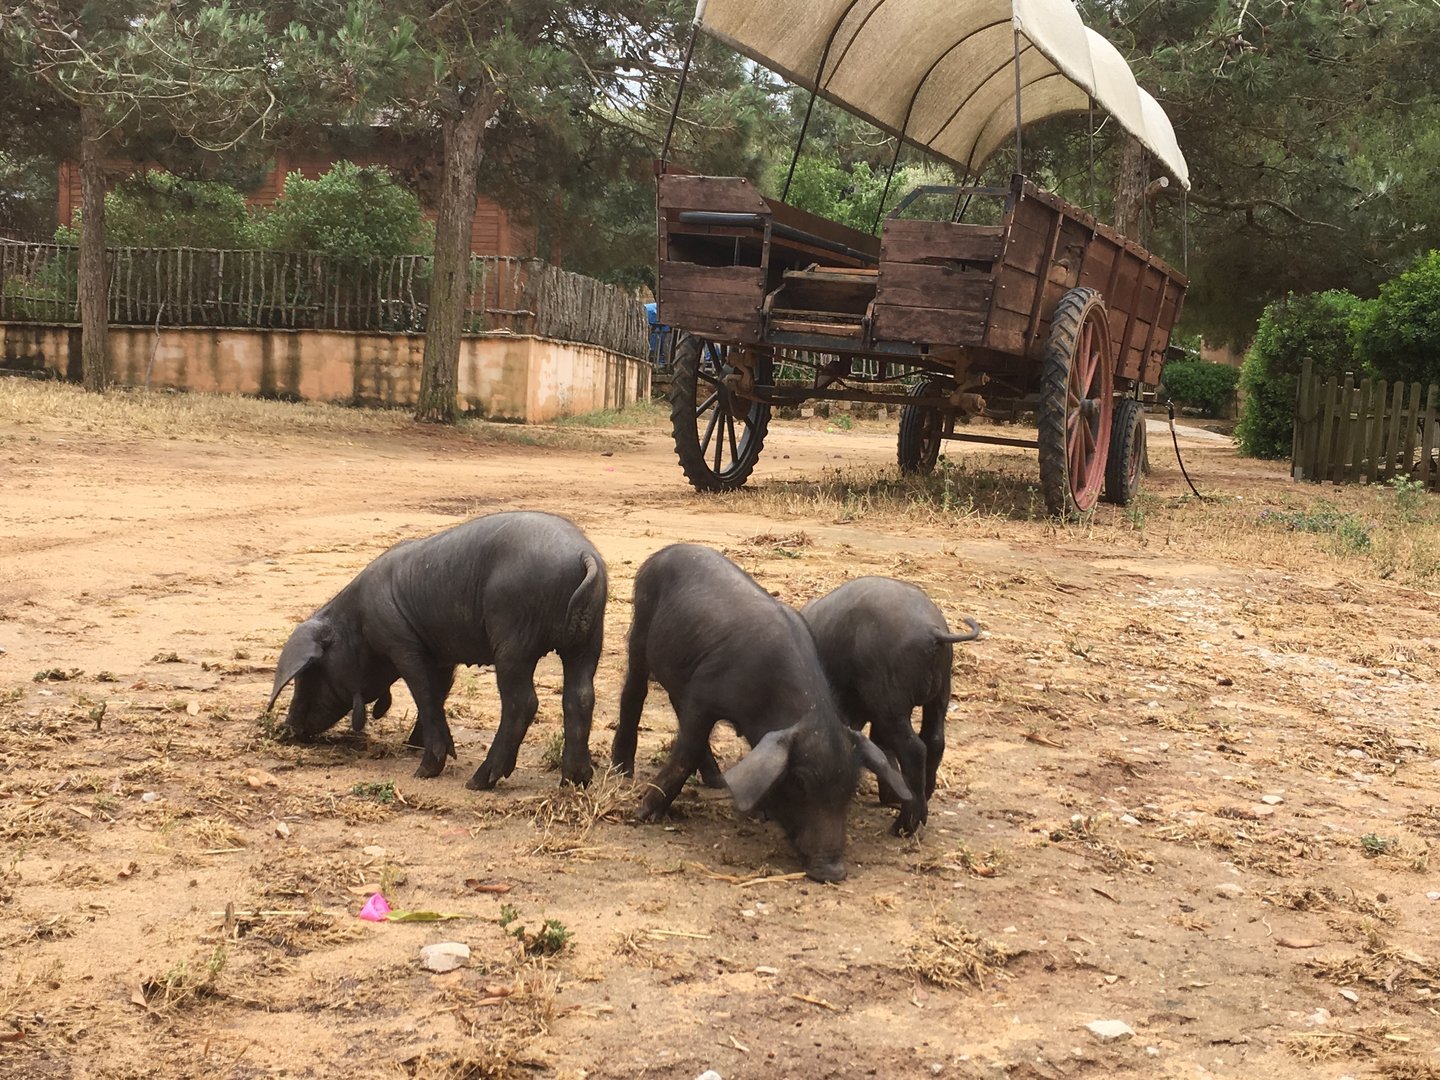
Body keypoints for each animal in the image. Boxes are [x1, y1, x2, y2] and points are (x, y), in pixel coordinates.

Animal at [264, 511, 606, 788]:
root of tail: (582, 554)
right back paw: (575, 780)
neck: (356, 625)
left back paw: (478, 781)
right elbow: (439, 693)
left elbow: (425, 695)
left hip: (513, 640)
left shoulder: (402, 644)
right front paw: (413, 745)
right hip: (588, 641)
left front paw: (424, 769)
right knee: (580, 697)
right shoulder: (442, 656)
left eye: (311, 672)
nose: (287, 728)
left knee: (522, 703)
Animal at [610, 544, 909, 883]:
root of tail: (667, 550)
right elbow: (686, 750)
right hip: (640, 631)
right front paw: (644, 813)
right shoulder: (702, 697)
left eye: (850, 786)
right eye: (799, 782)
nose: (832, 870)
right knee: (634, 691)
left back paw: (716, 781)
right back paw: (622, 770)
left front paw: (759, 812)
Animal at [800, 576, 979, 835]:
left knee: (914, 749)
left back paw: (903, 826)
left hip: (891, 704)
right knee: (934, 740)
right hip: (937, 696)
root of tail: (932, 630)